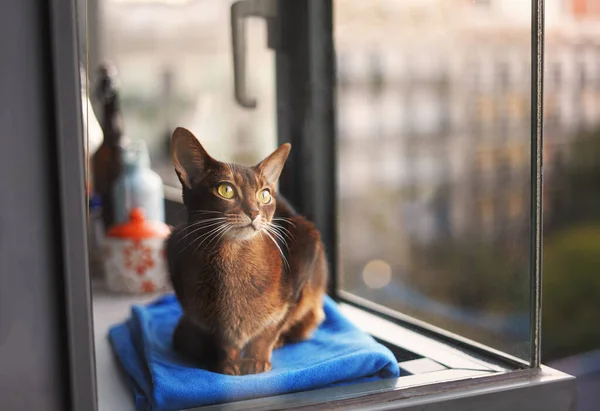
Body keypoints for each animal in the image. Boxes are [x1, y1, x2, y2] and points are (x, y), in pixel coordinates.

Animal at [165, 127, 328, 374]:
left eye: (264, 194)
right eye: (226, 190)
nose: (254, 212)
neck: (234, 260)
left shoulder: (301, 268)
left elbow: (269, 330)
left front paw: (255, 360)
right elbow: (223, 339)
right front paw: (228, 363)